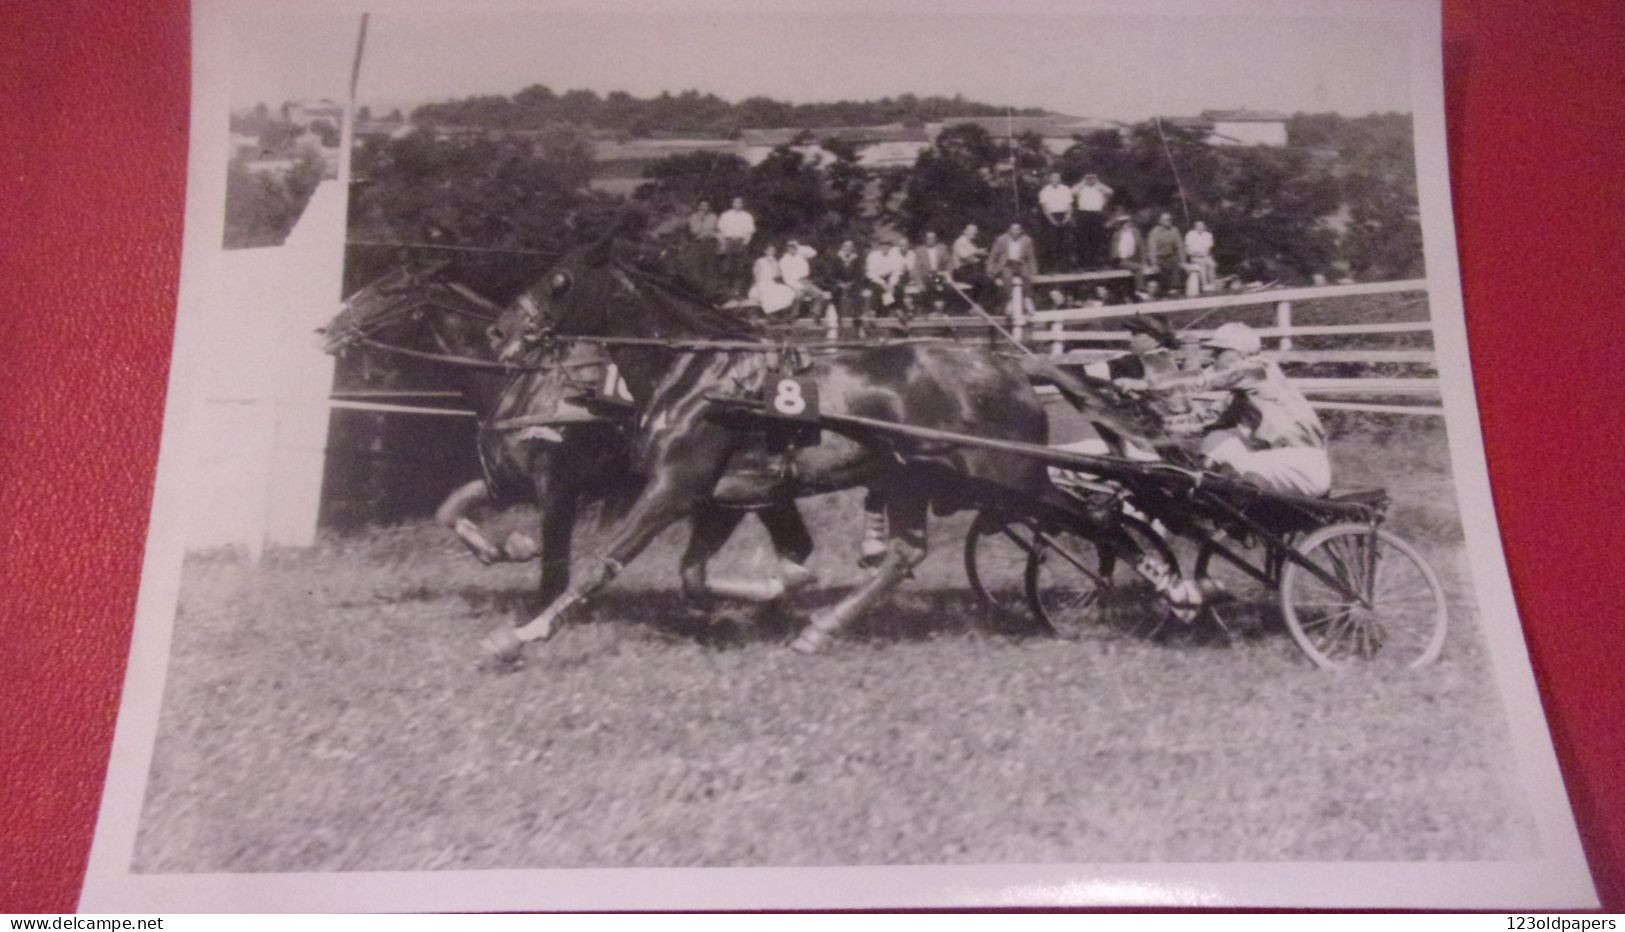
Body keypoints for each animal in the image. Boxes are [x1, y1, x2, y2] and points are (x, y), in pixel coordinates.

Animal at [321, 263, 819, 613]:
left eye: (387, 290)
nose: (326, 329)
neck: (521, 381)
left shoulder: (558, 484)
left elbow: (555, 566)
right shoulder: (506, 478)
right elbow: (449, 510)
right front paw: (500, 548)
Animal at [477, 233, 1079, 662]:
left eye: (559, 281)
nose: (499, 332)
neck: (700, 376)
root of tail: (1013, 370)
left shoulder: (675, 486)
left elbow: (602, 562)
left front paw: (522, 634)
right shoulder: (724, 494)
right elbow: (695, 577)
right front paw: (776, 590)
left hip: (1010, 476)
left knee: (1076, 517)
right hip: (910, 477)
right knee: (906, 554)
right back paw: (821, 630)